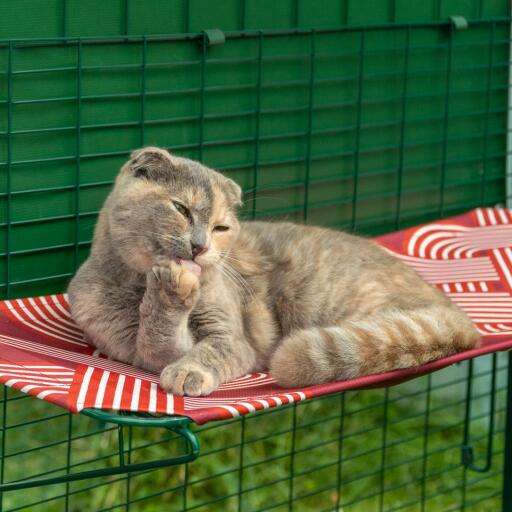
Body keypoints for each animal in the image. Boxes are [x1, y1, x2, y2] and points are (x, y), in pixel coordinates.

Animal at [67, 147, 480, 396]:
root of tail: (458, 315)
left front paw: (187, 365)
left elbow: (204, 350)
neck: (138, 287)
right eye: (181, 209)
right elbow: (157, 340)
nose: (200, 246)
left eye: (221, 227)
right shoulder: (132, 348)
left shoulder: (231, 337)